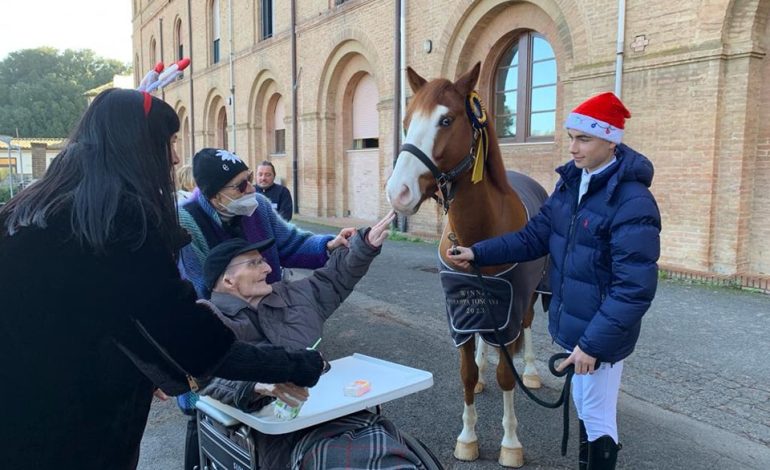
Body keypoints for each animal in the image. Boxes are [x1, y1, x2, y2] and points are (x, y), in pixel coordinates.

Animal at [388, 61, 548, 466]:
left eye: (446, 120)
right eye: (407, 120)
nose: (398, 192)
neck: (480, 239)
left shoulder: (509, 310)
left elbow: (508, 375)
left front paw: (510, 443)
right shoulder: (459, 310)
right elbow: (465, 372)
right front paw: (467, 436)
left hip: (532, 295)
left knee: (528, 330)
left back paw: (532, 371)